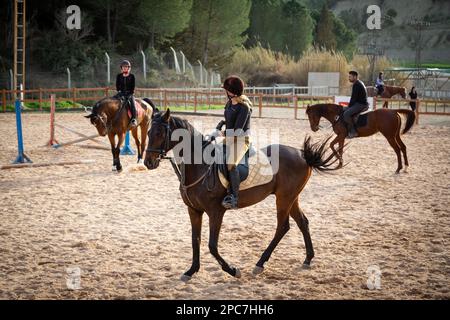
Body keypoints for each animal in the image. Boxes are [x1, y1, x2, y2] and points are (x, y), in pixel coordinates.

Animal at [144, 109, 342, 280]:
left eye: (159, 133)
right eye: (148, 132)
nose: (148, 162)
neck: (200, 165)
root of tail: (302, 155)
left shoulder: (216, 212)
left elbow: (212, 246)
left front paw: (233, 270)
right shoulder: (194, 211)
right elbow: (195, 240)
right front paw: (191, 271)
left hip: (284, 199)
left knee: (283, 227)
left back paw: (260, 264)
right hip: (291, 198)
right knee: (302, 222)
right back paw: (307, 259)